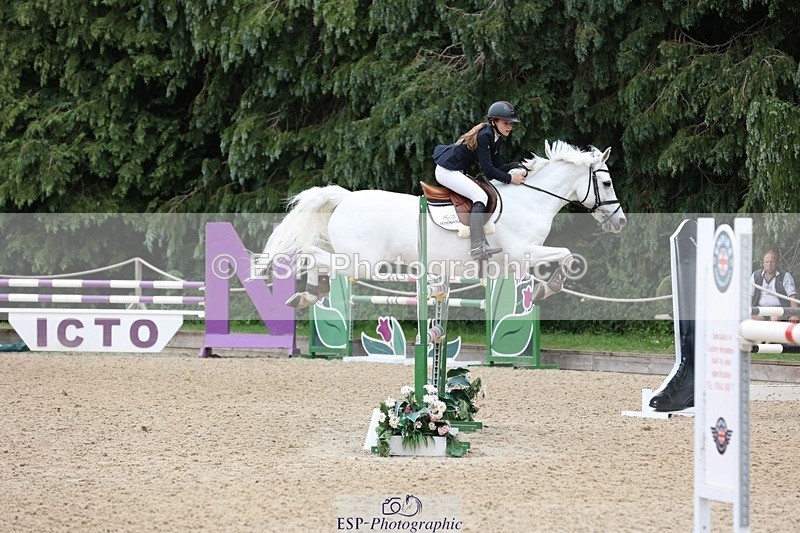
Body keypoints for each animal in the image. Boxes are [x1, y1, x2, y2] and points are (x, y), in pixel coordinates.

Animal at [263, 140, 627, 308]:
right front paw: (546, 289)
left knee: (315, 254)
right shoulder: (523, 252)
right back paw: (309, 293)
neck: (531, 199)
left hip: (353, 257)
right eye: (607, 183)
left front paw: (542, 288)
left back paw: (308, 295)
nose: (620, 221)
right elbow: (566, 254)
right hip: (362, 262)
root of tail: (346, 197)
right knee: (312, 254)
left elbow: (564, 255)